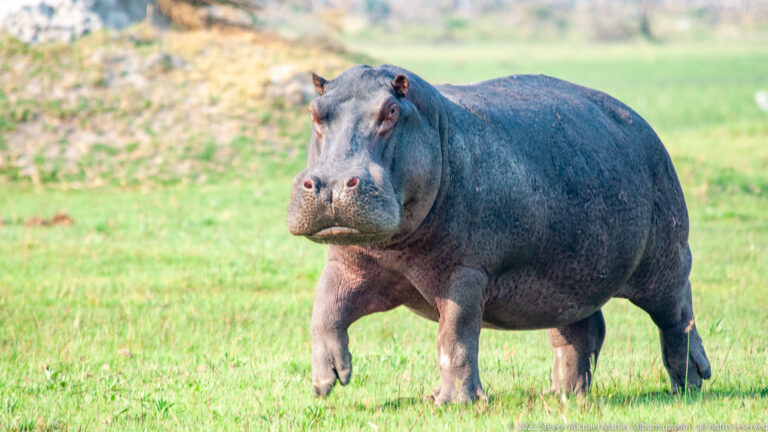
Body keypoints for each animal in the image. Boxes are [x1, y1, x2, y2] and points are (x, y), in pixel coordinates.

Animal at [286, 64, 711, 403]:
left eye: (391, 111)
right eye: (313, 112)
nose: (330, 184)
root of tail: (642, 123)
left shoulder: (465, 274)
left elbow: (456, 337)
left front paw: (450, 402)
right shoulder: (347, 263)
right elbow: (324, 311)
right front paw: (327, 382)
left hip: (665, 261)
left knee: (678, 316)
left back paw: (689, 383)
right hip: (569, 279)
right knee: (582, 331)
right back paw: (563, 394)